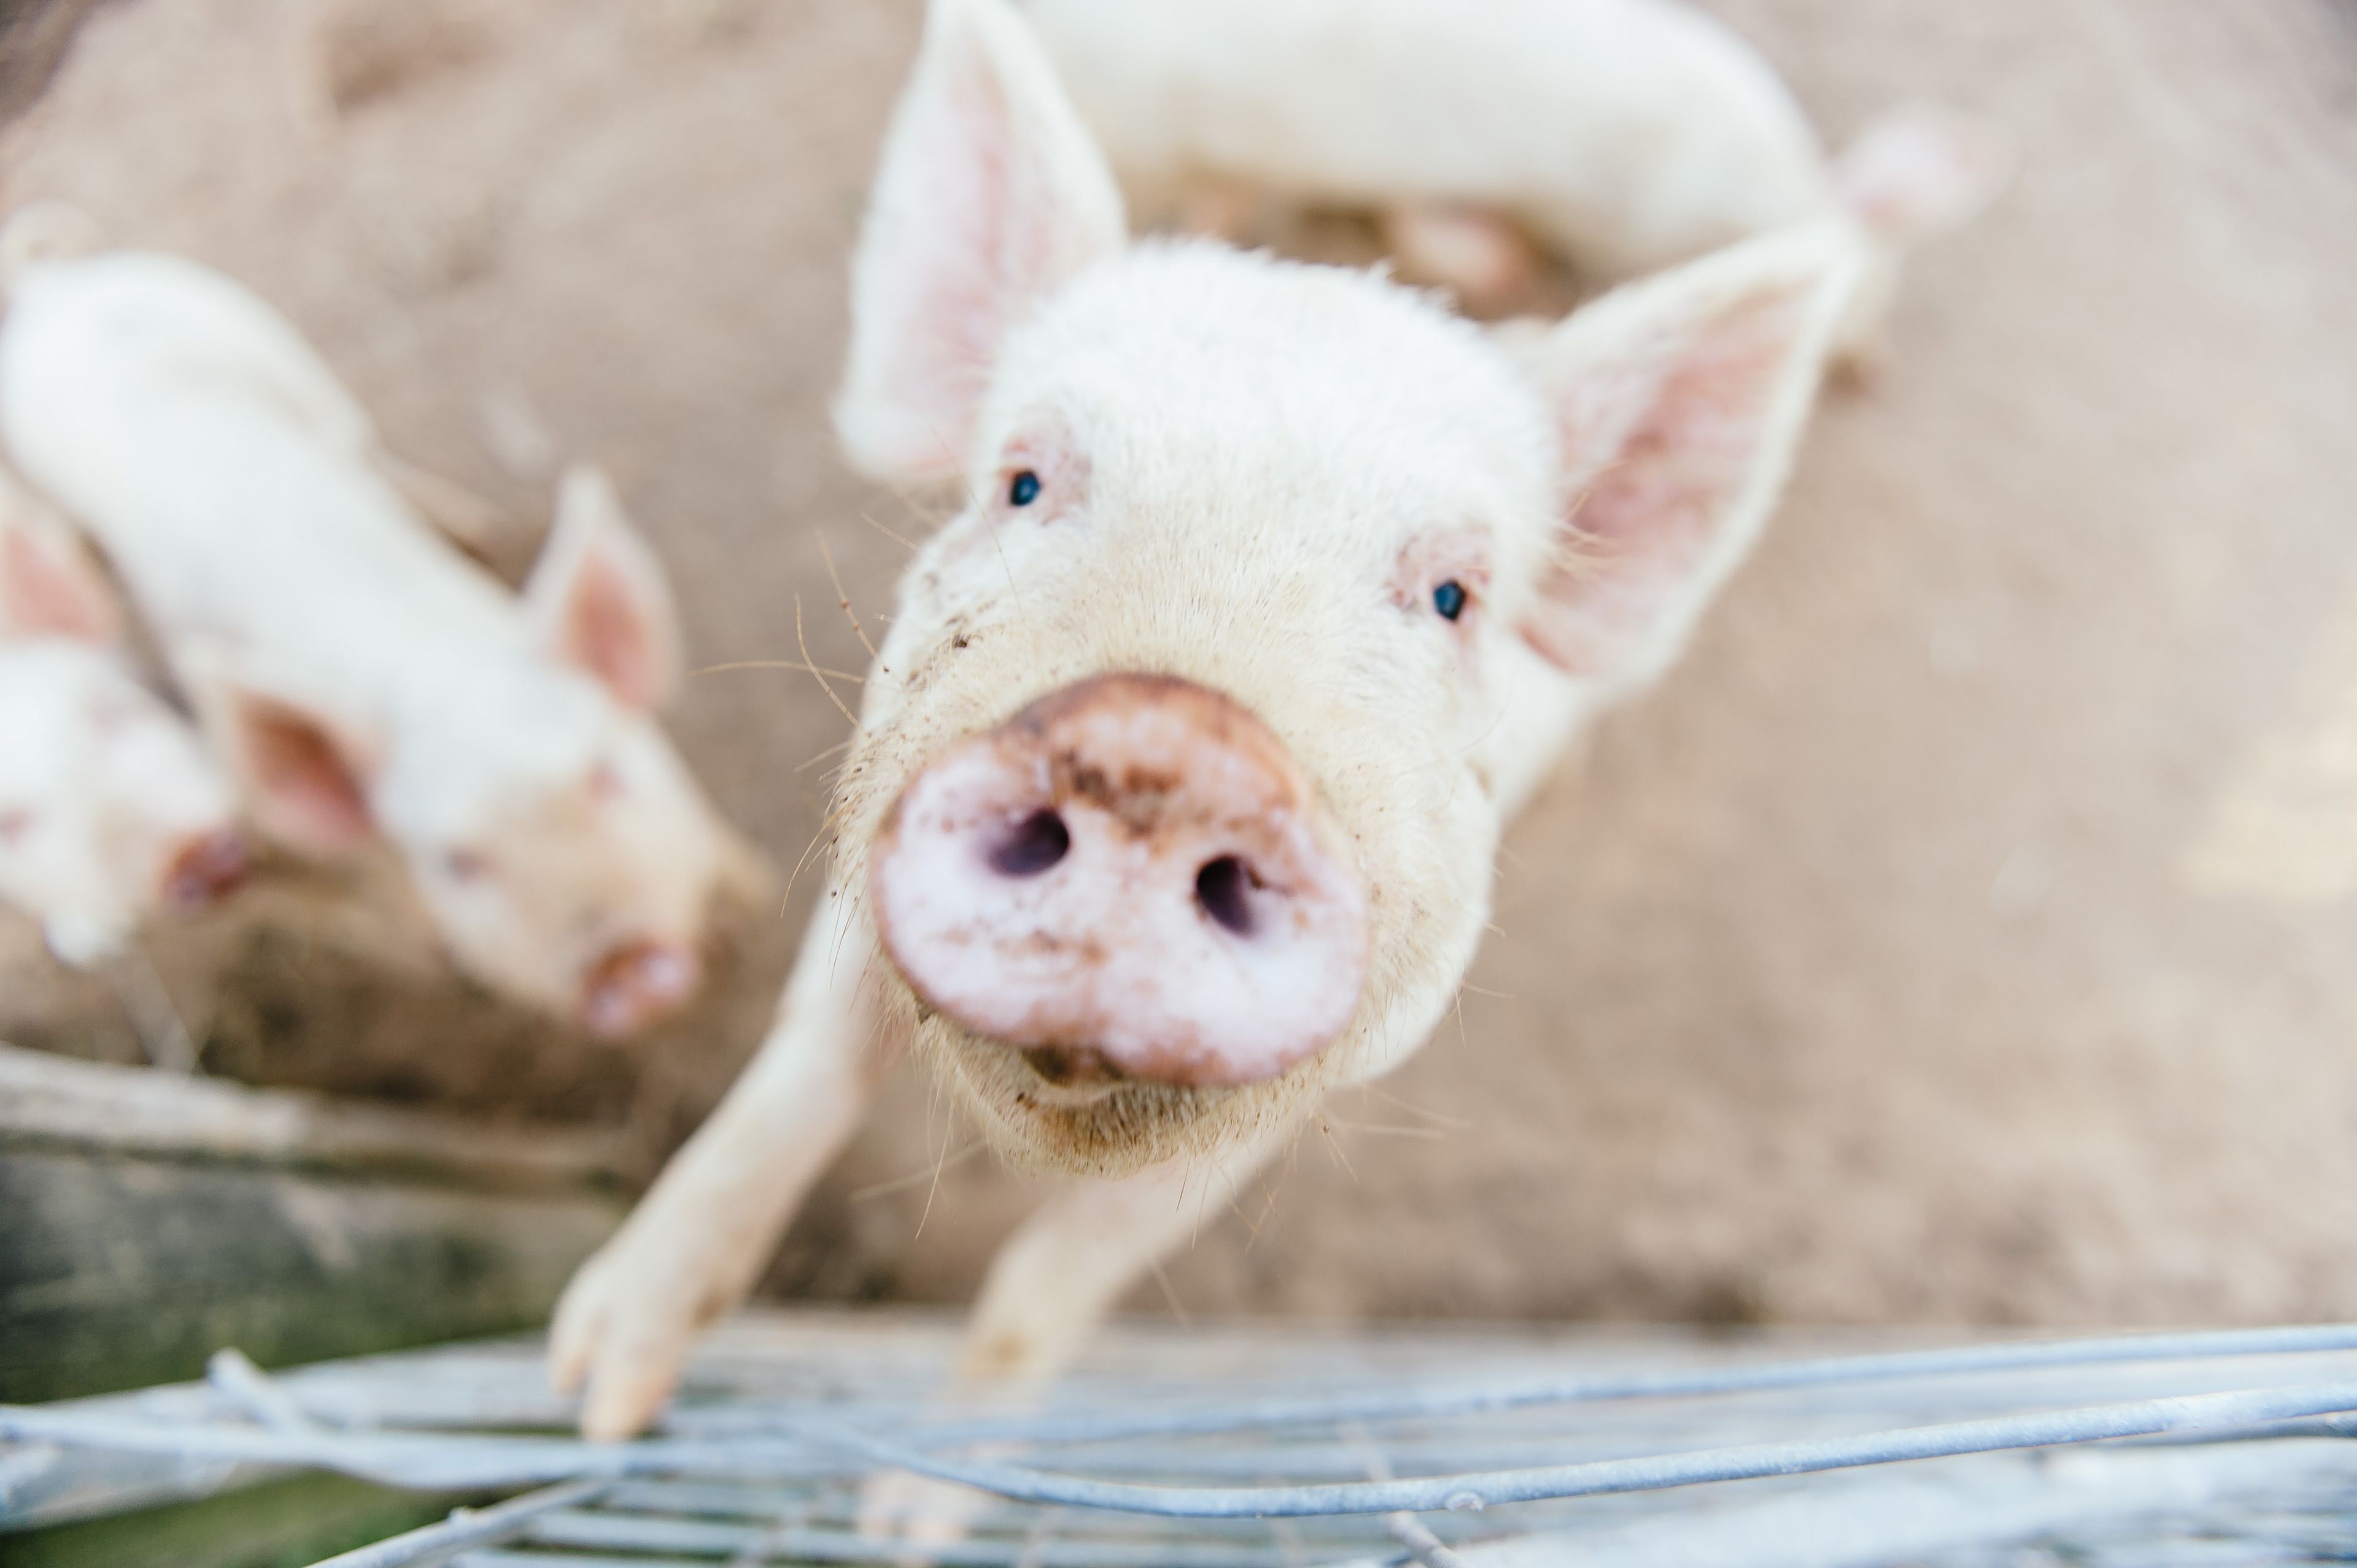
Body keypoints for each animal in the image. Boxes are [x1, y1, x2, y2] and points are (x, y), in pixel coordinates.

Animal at [546, 0, 1870, 1498]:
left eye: (1454, 596)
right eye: (1022, 480)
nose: (1167, 739)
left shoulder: (1322, 1085)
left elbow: (1054, 1277)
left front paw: (915, 1510)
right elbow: (797, 1079)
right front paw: (591, 1394)